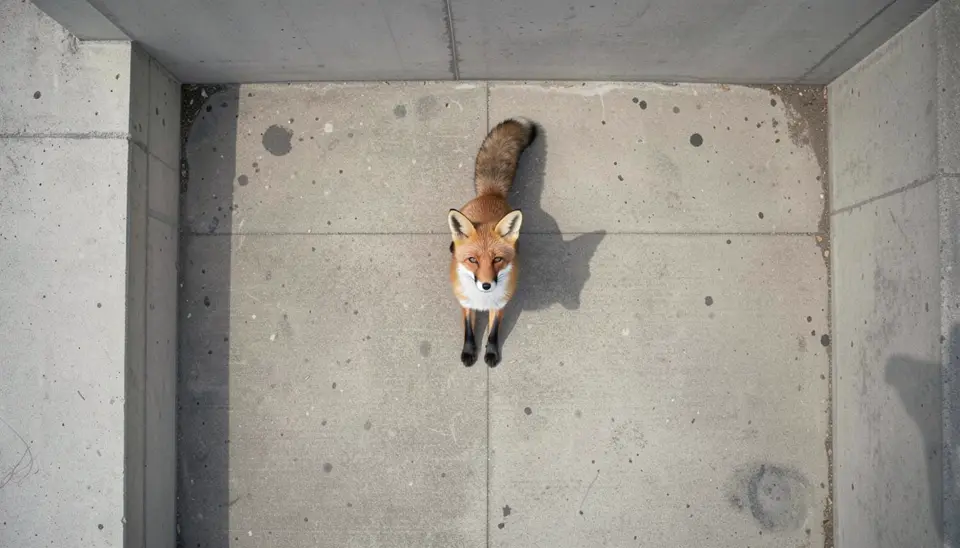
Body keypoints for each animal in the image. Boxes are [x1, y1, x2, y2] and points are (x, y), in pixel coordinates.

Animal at [448, 117, 537, 368]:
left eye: (497, 259)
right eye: (472, 260)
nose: (487, 285)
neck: (482, 300)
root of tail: (491, 193)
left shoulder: (500, 306)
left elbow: (494, 331)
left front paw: (491, 352)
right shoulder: (465, 302)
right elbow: (469, 330)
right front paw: (469, 351)